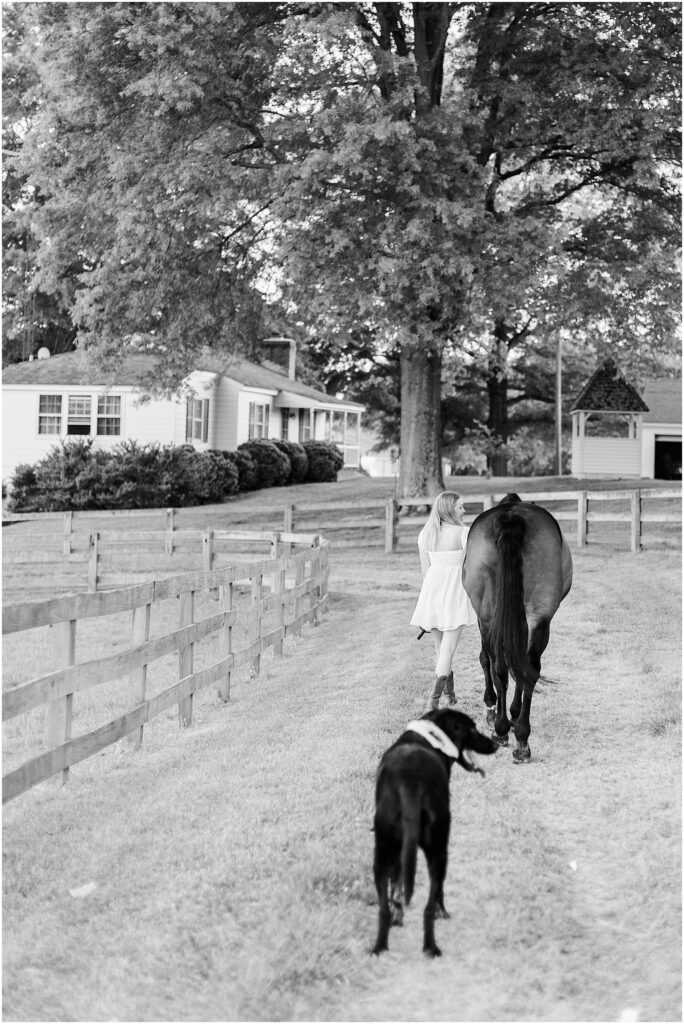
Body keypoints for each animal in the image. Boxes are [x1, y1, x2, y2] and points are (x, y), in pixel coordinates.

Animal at [374, 708, 497, 954]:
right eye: (472, 729)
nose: (496, 743)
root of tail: (410, 781)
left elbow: (397, 882)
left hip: (381, 852)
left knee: (384, 908)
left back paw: (380, 946)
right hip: (439, 848)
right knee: (431, 902)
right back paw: (432, 945)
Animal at [462, 491, 573, 765]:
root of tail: (511, 517)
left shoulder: (483, 620)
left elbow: (485, 659)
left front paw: (492, 709)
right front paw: (512, 714)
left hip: (491, 615)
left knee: (500, 665)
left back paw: (503, 729)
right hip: (539, 617)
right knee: (527, 668)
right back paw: (521, 737)